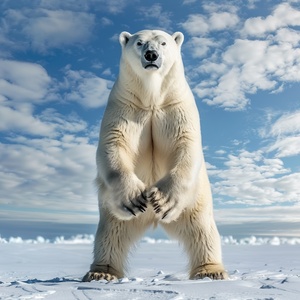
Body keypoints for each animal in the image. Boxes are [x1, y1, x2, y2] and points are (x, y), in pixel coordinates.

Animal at [82, 29, 227, 282]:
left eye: (164, 43)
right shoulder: (125, 107)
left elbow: (187, 144)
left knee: (203, 230)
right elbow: (114, 144)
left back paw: (211, 271)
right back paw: (101, 272)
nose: (151, 55)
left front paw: (162, 200)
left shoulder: (176, 106)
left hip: (194, 203)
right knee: (110, 233)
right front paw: (135, 197)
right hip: (113, 211)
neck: (151, 98)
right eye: (139, 43)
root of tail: (151, 220)